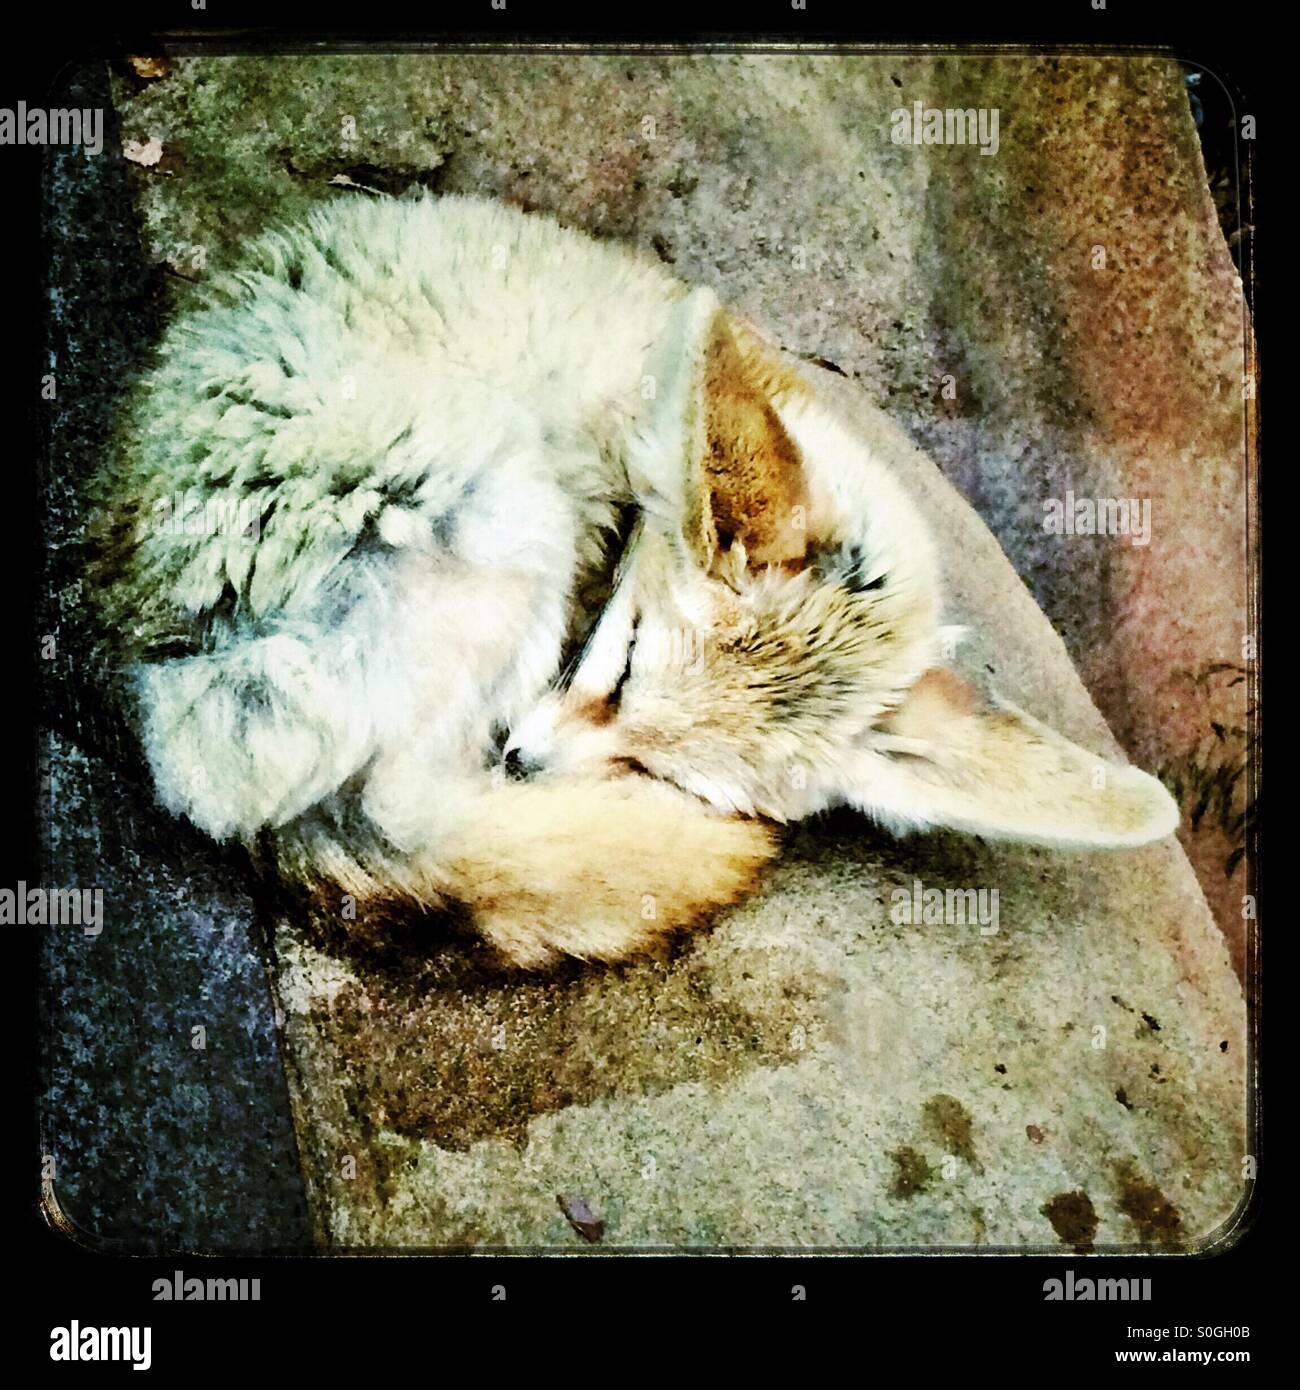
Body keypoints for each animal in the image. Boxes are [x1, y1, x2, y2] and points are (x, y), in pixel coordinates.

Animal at [92, 193, 1179, 968]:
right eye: (617, 671)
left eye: (662, 770)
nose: (525, 761)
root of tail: (144, 657)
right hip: (506, 499)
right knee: (403, 811)